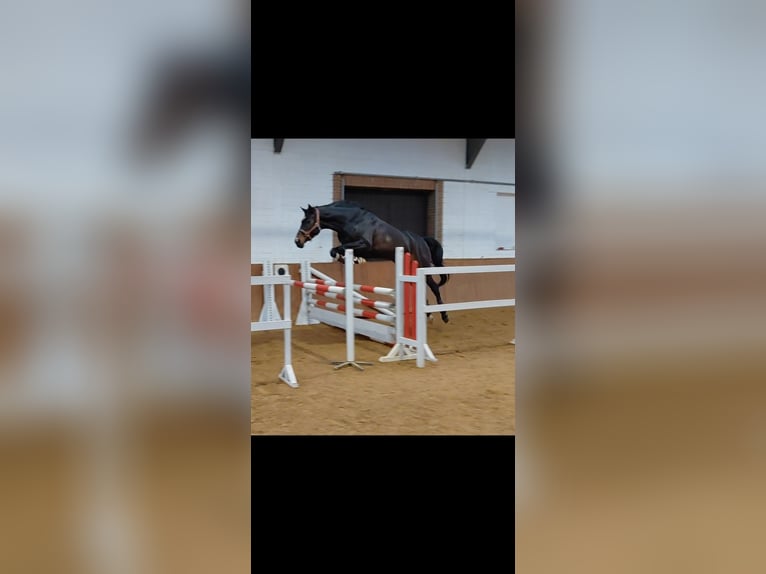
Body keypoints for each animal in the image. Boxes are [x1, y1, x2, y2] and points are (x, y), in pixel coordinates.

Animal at [294, 201, 450, 323]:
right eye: (302, 221)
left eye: (307, 221)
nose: (297, 241)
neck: (350, 220)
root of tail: (422, 240)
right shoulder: (355, 246)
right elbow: (336, 251)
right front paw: (354, 260)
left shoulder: (364, 244)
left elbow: (336, 249)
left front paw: (352, 260)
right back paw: (428, 314)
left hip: (422, 265)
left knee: (433, 286)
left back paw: (443, 315)